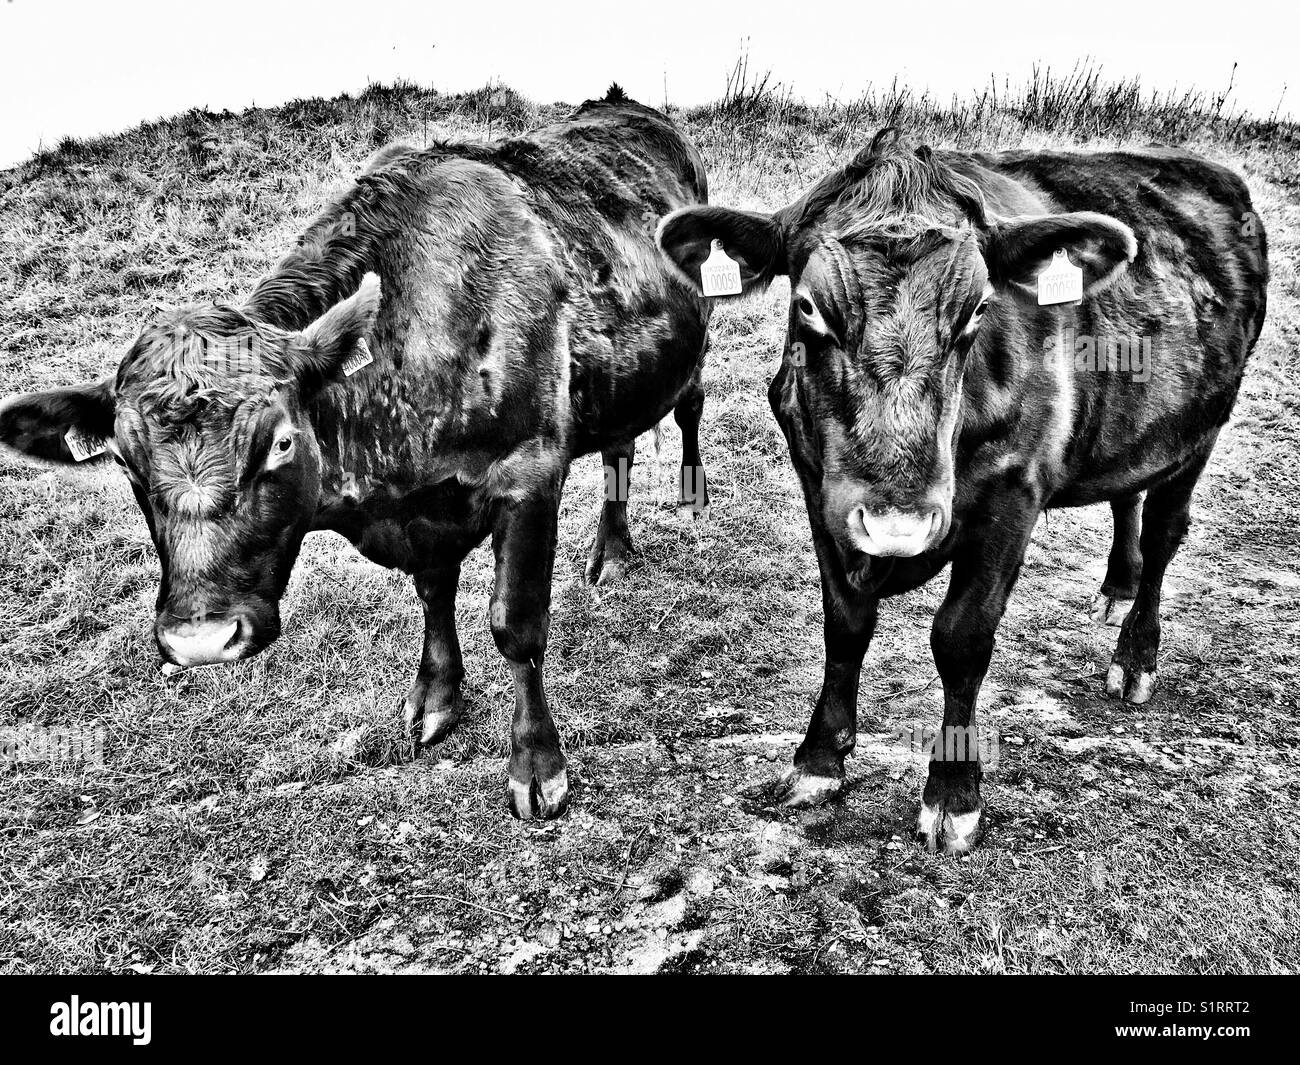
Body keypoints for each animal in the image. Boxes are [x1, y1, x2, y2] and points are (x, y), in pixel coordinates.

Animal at [0, 91, 712, 827]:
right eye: (125, 462)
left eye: (282, 441)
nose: (202, 638)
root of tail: (625, 106)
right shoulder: (421, 510)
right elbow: (434, 593)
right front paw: (437, 697)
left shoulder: (530, 473)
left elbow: (516, 626)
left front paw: (537, 768)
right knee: (621, 444)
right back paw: (614, 549)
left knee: (688, 406)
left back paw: (689, 499)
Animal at [655, 126, 1263, 858]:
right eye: (808, 307)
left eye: (978, 309)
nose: (900, 521)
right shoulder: (821, 488)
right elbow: (845, 624)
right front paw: (818, 760)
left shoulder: (1012, 496)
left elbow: (962, 637)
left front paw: (953, 795)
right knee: (1127, 497)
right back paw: (1115, 587)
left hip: (1200, 432)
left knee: (1168, 530)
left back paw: (1136, 654)